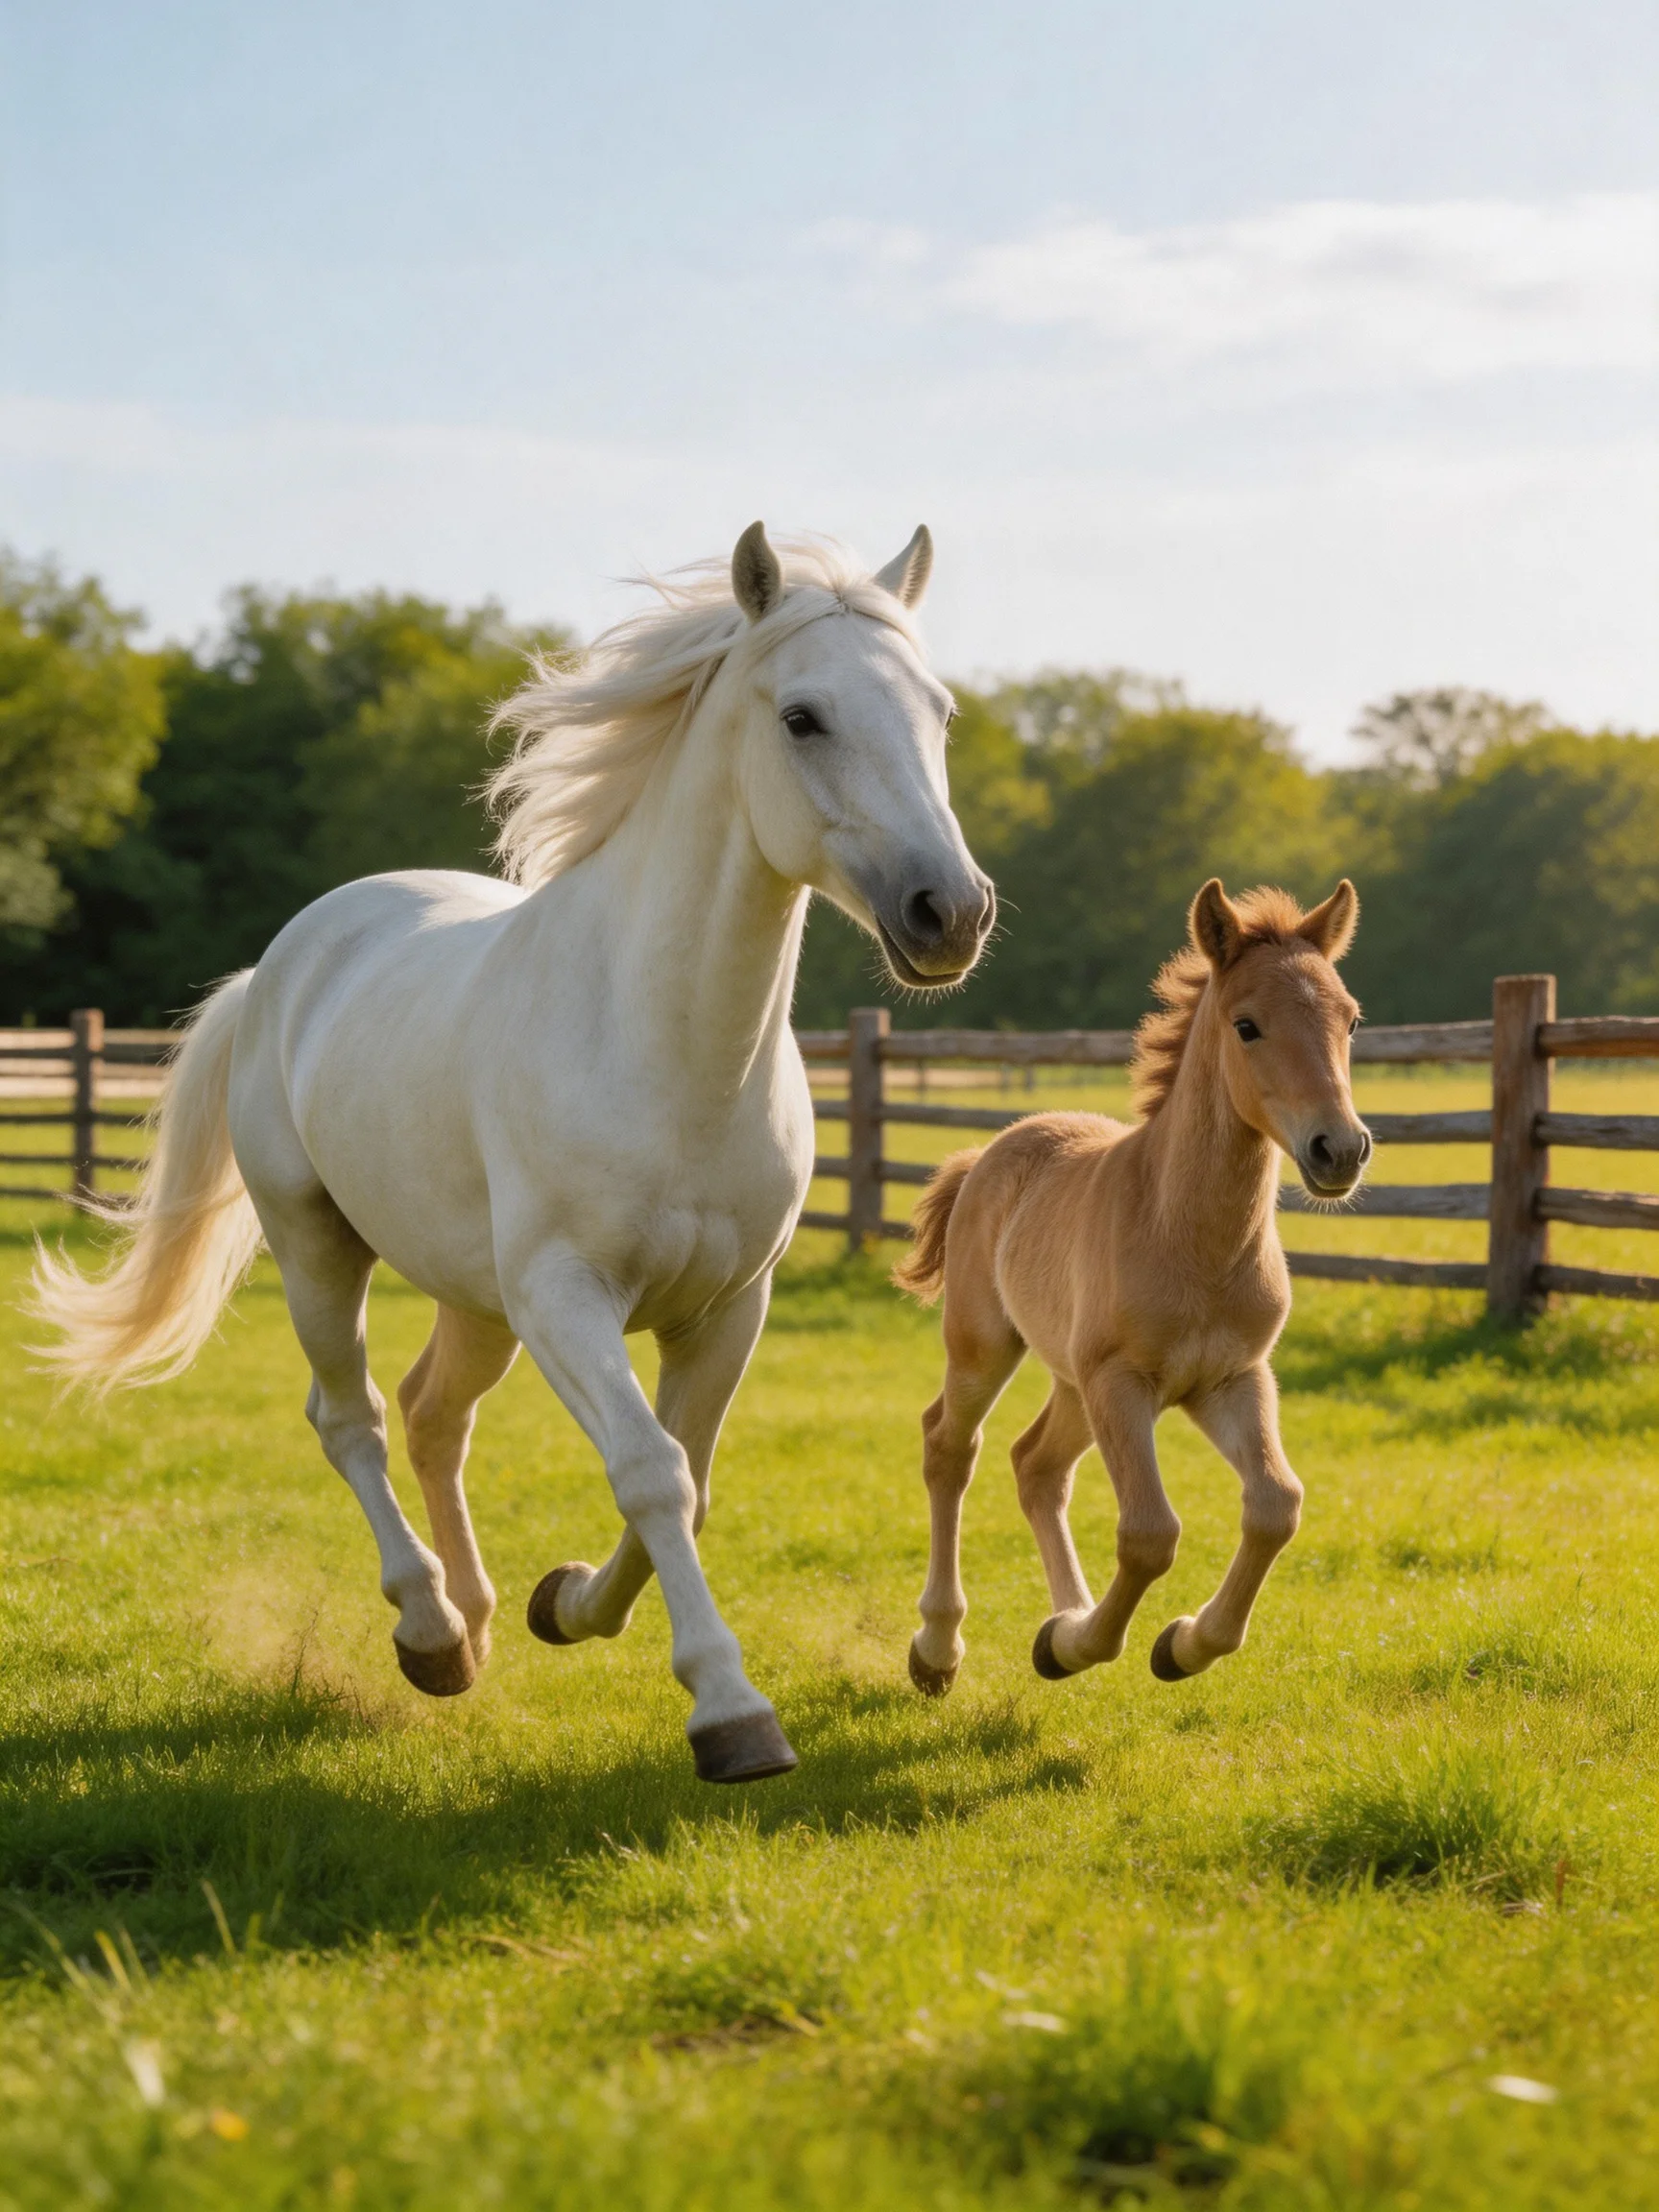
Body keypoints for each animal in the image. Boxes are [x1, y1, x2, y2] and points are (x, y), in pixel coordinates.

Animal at [32, 522, 994, 1786]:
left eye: (939, 711)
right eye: (802, 717)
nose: (951, 913)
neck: (663, 1047)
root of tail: (284, 961)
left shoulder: (726, 1307)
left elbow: (690, 1480)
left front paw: (570, 1603)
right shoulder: (565, 1300)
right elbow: (651, 1471)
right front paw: (730, 1712)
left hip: (472, 1298)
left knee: (434, 1414)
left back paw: (482, 1619)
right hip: (318, 1247)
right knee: (352, 1418)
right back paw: (431, 1629)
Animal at [894, 878, 1370, 1696]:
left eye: (1350, 1018)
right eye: (1247, 1025)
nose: (1338, 1149)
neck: (1189, 1236)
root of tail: (990, 1152)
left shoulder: (1232, 1380)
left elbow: (1276, 1506)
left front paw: (1179, 1644)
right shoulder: (1122, 1383)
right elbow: (1150, 1533)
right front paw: (1090, 1645)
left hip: (1072, 1384)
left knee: (1036, 1466)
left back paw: (1064, 1615)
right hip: (987, 1348)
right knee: (951, 1448)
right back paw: (940, 1648)